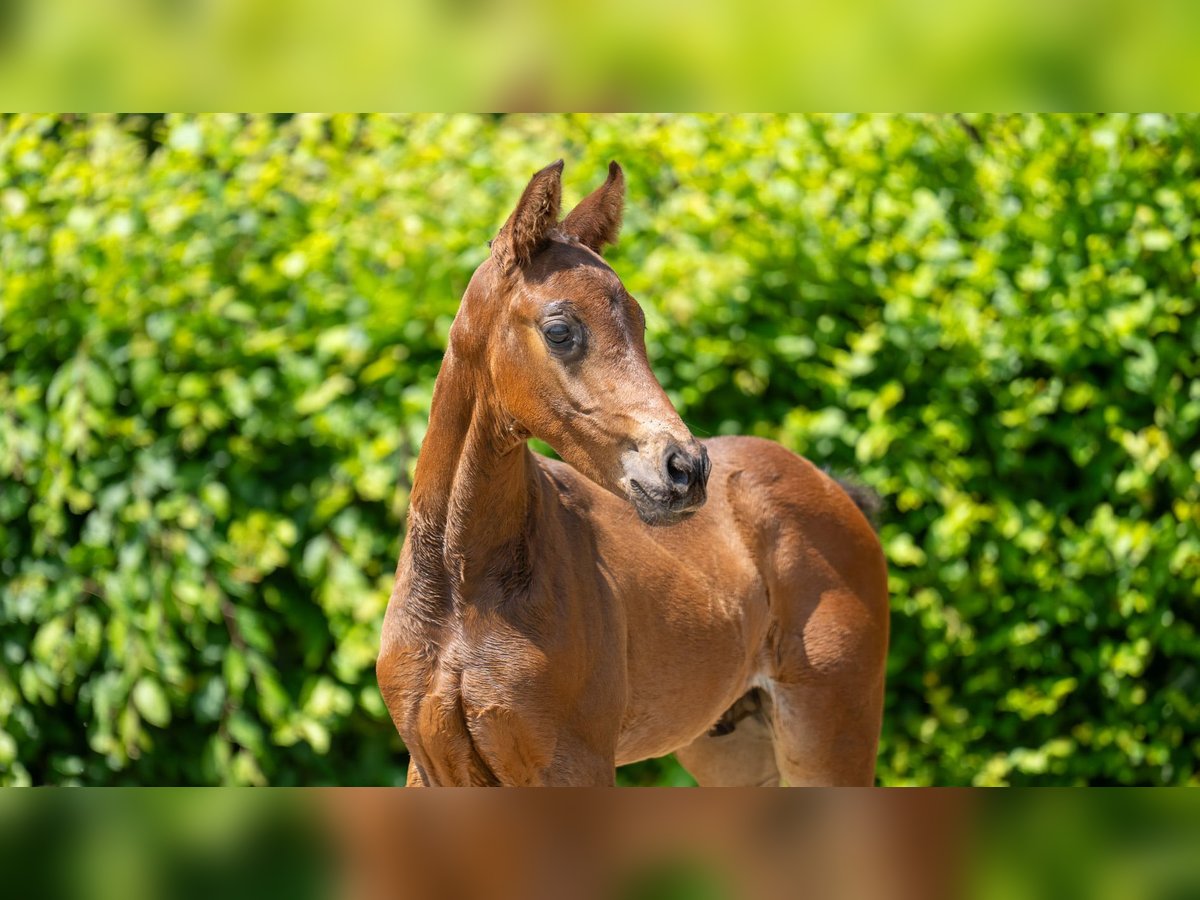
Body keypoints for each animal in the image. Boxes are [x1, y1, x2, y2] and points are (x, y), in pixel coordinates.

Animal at [376, 162, 892, 787]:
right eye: (560, 330)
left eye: (640, 325)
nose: (687, 469)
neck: (464, 587)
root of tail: (833, 490)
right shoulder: (433, 766)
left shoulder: (574, 764)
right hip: (735, 746)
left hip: (827, 732)